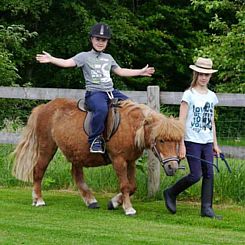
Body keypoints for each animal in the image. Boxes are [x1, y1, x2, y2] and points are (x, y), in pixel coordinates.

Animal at [11, 98, 184, 215]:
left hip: (76, 153)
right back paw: (38, 199)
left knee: (77, 175)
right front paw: (128, 208)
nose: (173, 167)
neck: (130, 126)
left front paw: (114, 202)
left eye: (176, 140)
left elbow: (132, 186)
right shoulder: (119, 160)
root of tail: (43, 107)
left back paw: (90, 200)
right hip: (47, 147)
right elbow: (125, 185)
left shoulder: (130, 161)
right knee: (38, 171)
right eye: (161, 140)